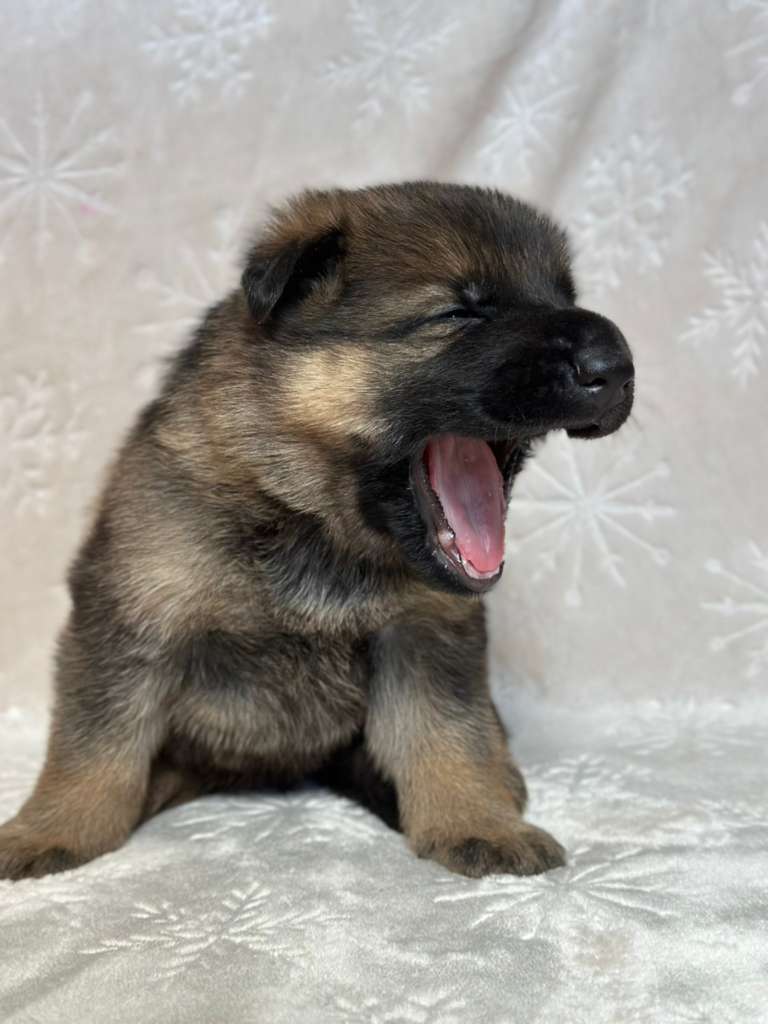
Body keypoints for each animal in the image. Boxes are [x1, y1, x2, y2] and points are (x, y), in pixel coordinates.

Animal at [0, 182, 633, 880]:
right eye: (459, 313)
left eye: (565, 297)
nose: (615, 365)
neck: (309, 515)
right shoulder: (131, 616)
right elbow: (95, 741)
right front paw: (53, 828)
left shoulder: (425, 634)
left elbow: (448, 734)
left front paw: (478, 820)